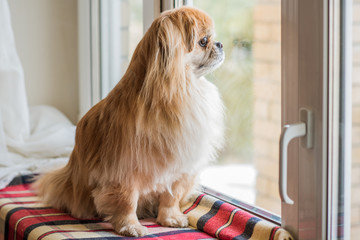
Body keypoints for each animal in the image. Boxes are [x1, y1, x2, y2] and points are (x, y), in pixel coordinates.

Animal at [34, 6, 225, 237]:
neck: (178, 93)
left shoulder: (179, 168)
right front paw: (130, 226)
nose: (220, 44)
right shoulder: (124, 171)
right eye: (203, 41)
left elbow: (171, 197)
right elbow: (127, 201)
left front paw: (170, 218)